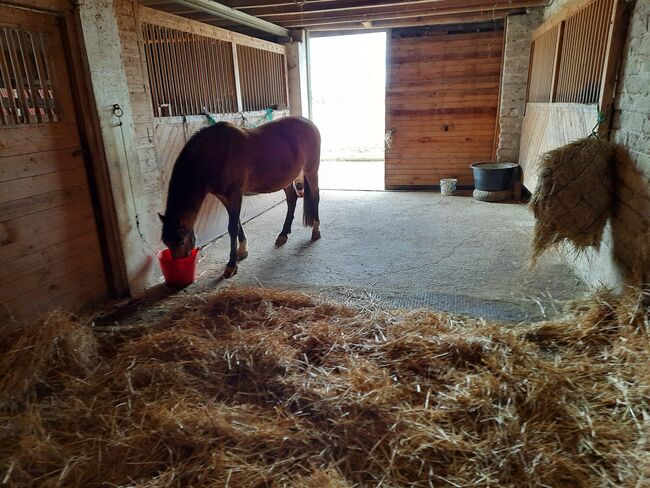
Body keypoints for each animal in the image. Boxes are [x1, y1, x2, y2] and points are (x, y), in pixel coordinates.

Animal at [159, 115, 322, 280]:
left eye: (180, 241)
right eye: (166, 242)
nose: (179, 269)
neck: (213, 154)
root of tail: (309, 123)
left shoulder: (234, 195)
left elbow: (232, 227)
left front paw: (231, 265)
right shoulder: (224, 197)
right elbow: (236, 222)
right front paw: (242, 250)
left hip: (311, 170)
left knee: (315, 196)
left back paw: (316, 231)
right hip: (286, 179)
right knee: (292, 199)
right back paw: (283, 234)